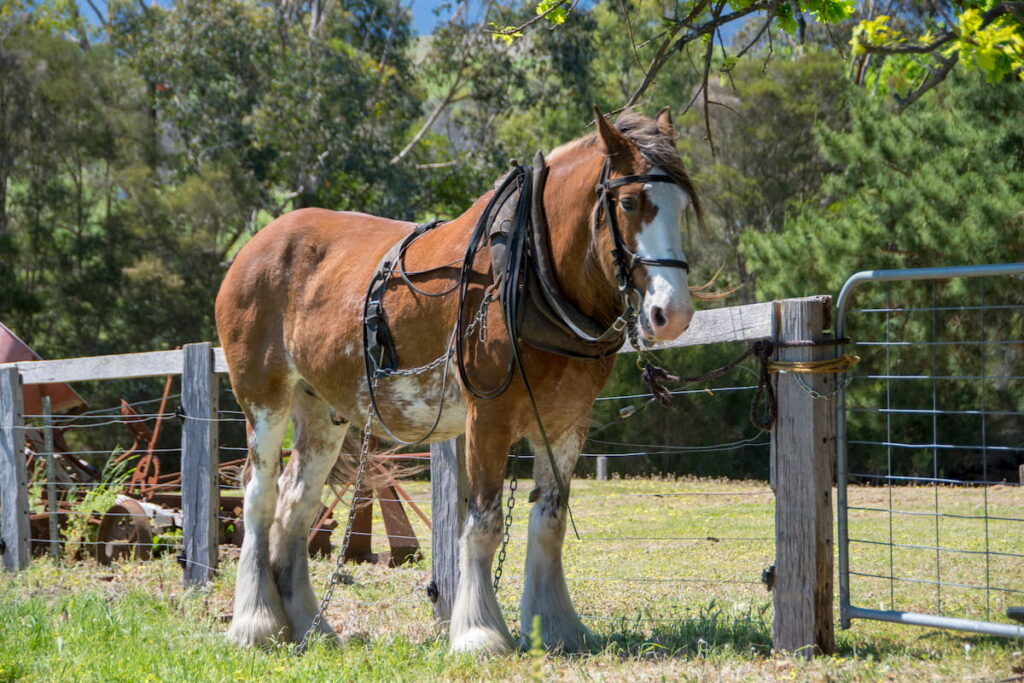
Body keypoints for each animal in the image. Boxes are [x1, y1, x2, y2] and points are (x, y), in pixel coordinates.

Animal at [212, 107, 700, 651]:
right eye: (630, 202)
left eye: (682, 205)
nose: (672, 313)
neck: (531, 275)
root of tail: (255, 246)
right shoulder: (487, 418)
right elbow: (483, 523)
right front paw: (480, 633)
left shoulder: (567, 424)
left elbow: (549, 521)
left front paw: (555, 627)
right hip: (264, 397)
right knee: (259, 496)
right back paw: (255, 622)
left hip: (322, 411)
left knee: (297, 504)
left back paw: (310, 627)